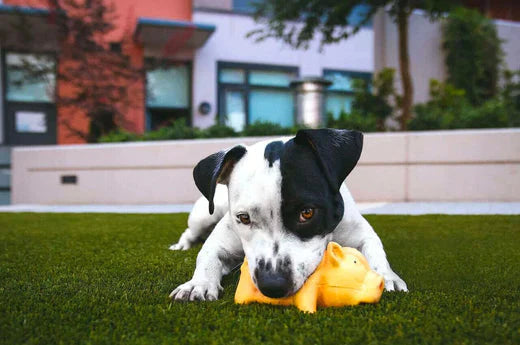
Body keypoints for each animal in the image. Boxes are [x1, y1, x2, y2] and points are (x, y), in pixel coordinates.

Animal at [170, 127, 406, 300]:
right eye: (243, 218)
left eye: (307, 213)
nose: (272, 285)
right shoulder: (221, 241)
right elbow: (206, 256)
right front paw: (197, 284)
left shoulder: (361, 233)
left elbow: (375, 251)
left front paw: (387, 276)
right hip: (204, 215)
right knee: (190, 232)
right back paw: (181, 246)